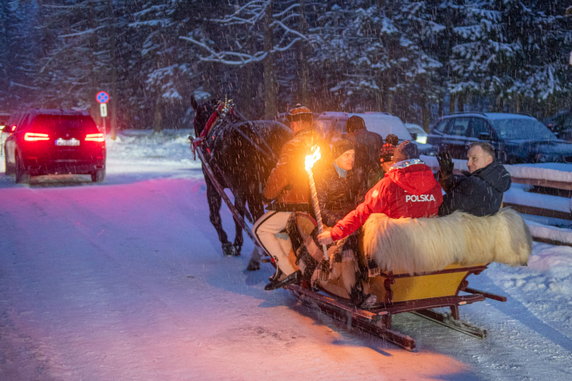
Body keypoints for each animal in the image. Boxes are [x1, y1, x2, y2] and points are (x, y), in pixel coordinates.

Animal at [191, 95, 292, 262]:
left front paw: (227, 244)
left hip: (243, 187)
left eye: (196, 120)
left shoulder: (213, 184)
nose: (197, 140)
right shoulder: (252, 192)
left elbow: (216, 216)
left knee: (241, 213)